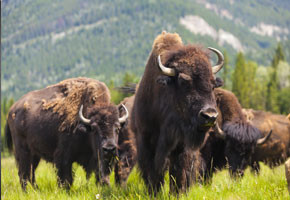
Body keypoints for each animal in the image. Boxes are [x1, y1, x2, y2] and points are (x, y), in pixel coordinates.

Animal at [131, 31, 224, 194]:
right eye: (183, 81)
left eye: (213, 84)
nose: (210, 116)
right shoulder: (146, 140)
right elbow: (152, 171)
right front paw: (154, 192)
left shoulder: (181, 145)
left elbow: (179, 171)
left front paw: (177, 193)